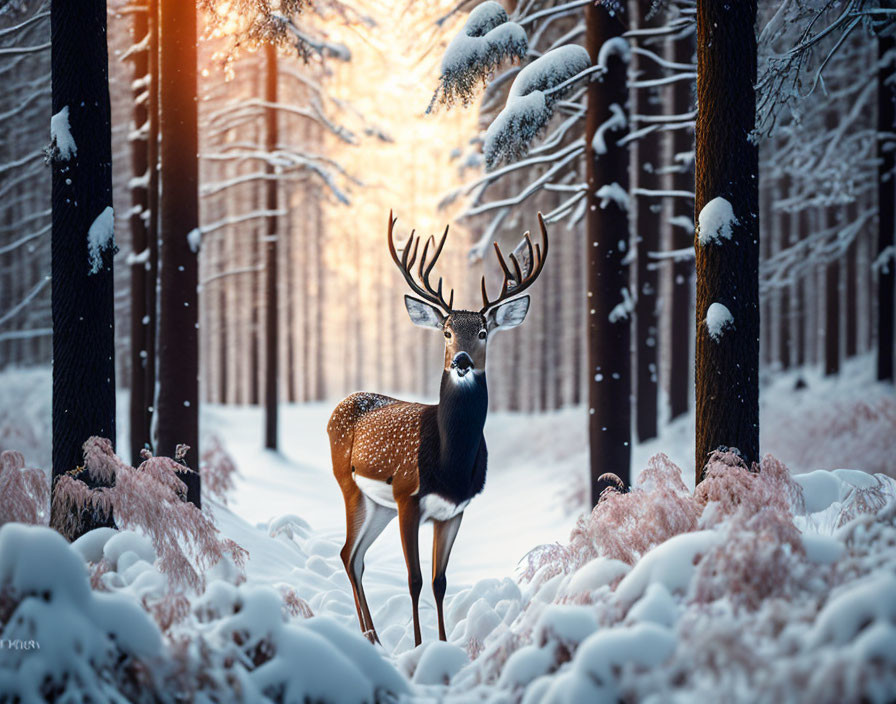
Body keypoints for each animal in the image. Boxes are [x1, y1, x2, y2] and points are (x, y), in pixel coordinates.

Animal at [326, 210, 548, 648]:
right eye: (446, 331)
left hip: (378, 504)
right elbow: (413, 580)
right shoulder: (406, 494)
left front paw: (444, 646)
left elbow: (439, 581)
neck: (449, 465)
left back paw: (373, 638)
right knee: (347, 552)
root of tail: (340, 406)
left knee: (354, 556)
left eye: (483, 331)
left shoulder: (454, 510)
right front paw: (417, 647)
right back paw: (372, 638)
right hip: (350, 484)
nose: (461, 360)